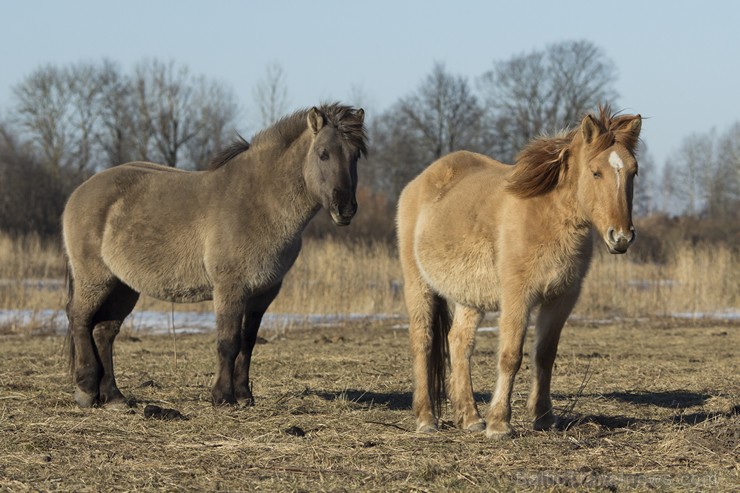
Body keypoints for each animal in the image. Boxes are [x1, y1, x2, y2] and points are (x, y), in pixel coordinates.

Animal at [62, 103, 368, 408]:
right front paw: (222, 396)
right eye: (323, 153)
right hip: (95, 280)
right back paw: (86, 389)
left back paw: (113, 396)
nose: (345, 209)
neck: (259, 202)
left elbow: (248, 341)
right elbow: (228, 342)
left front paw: (244, 395)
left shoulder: (262, 294)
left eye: (355, 155)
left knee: (104, 331)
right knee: (79, 319)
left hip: (124, 286)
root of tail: (79, 192)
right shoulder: (230, 288)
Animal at [398, 105, 640, 436]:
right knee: (422, 341)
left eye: (633, 171)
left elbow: (545, 355)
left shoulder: (561, 299)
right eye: (595, 172)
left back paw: (471, 418)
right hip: (418, 285)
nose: (621, 237)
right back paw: (426, 418)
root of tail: (419, 183)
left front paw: (544, 416)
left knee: (459, 343)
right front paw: (500, 423)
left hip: (468, 297)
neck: (546, 216)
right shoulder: (517, 296)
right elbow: (511, 355)